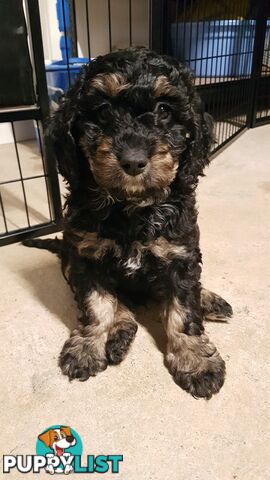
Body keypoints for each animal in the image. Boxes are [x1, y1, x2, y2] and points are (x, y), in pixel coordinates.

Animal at [24, 47, 233, 402]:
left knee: (192, 287)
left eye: (164, 110)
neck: (131, 207)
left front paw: (195, 361)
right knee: (117, 303)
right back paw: (119, 333)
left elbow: (183, 310)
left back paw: (208, 299)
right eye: (103, 111)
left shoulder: (180, 253)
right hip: (68, 259)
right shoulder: (85, 256)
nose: (133, 161)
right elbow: (97, 305)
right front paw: (87, 347)